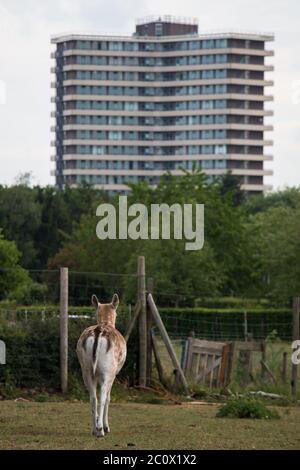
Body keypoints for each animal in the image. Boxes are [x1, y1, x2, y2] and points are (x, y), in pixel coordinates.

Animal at [77, 294, 126, 436]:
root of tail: (99, 330)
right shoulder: (114, 374)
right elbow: (109, 397)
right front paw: (106, 426)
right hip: (108, 370)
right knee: (103, 397)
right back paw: (101, 430)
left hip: (86, 370)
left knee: (93, 397)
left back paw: (94, 429)